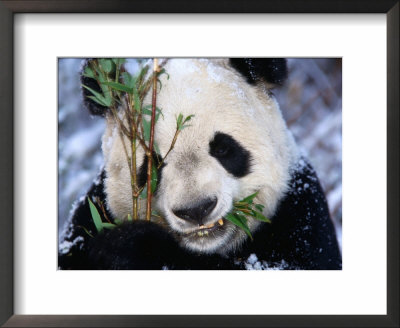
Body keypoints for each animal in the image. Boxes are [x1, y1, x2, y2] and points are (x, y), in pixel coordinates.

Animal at [57, 58, 342, 270]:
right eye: (152, 163)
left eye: (223, 149)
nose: (196, 210)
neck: (204, 249)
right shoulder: (92, 212)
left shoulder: (299, 217)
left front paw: (139, 246)